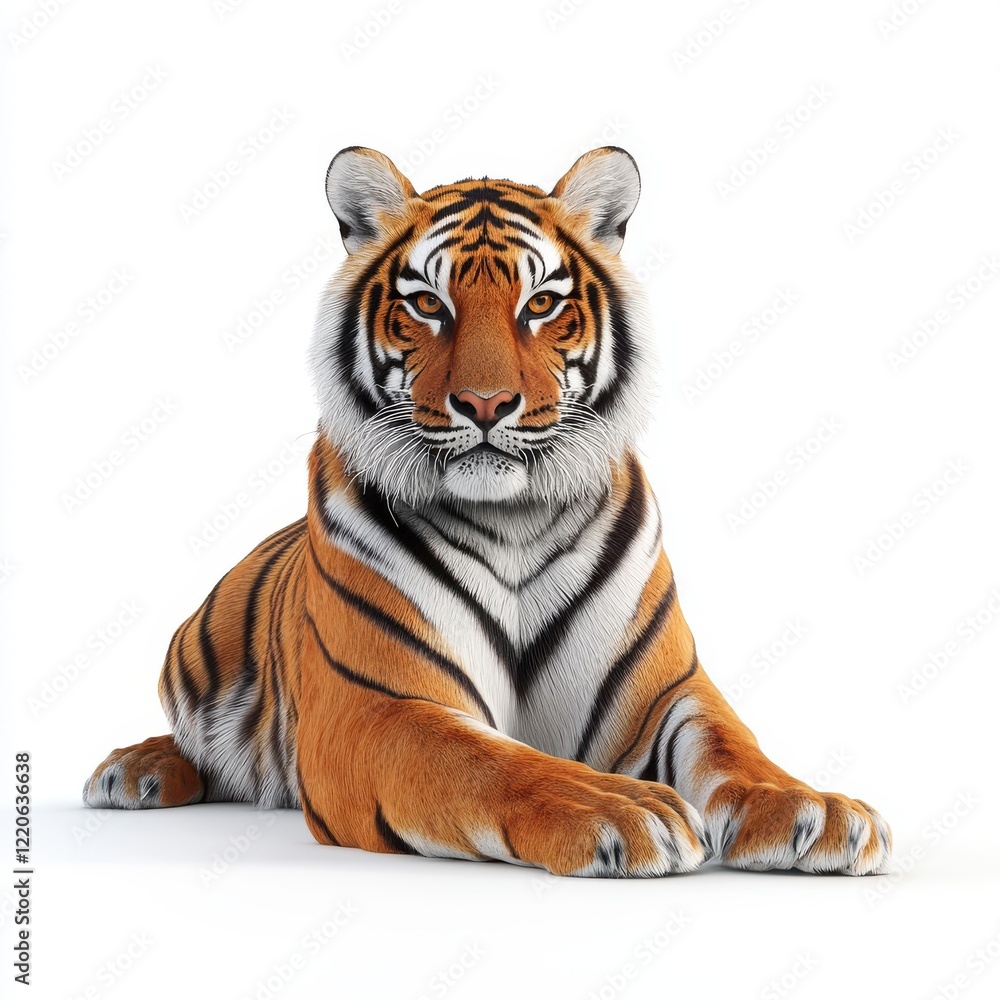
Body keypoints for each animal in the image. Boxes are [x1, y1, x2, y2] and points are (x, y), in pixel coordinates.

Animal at [83, 145, 891, 877]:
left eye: (540, 304)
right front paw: (622, 808)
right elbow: (494, 764)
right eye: (427, 304)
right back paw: (134, 771)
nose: (485, 404)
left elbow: (734, 745)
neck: (513, 522)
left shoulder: (670, 691)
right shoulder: (380, 709)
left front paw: (814, 812)